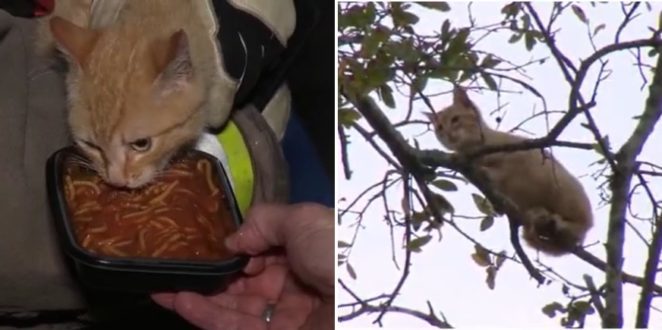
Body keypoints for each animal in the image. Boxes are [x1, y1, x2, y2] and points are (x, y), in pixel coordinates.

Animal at [430, 87, 596, 255]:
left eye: (455, 119)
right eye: (439, 128)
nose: (447, 135)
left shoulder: (518, 156)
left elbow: (502, 172)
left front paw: (486, 171)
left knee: (579, 228)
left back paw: (563, 224)